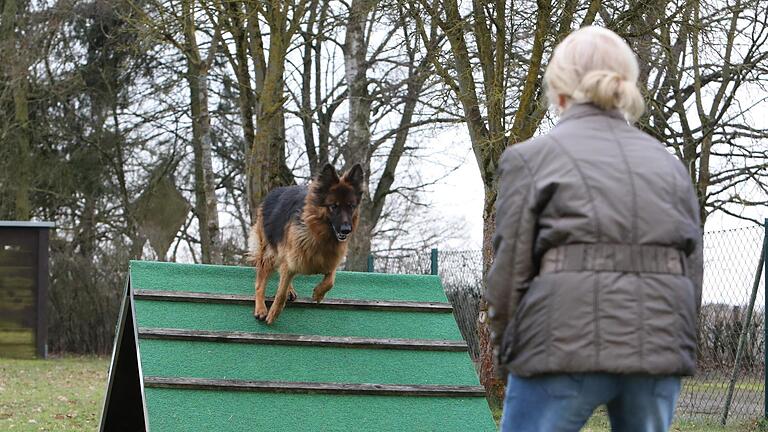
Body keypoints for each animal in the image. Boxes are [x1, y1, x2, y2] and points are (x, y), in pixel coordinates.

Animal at [248, 163, 364, 324]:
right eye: (334, 206)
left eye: (351, 206)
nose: (346, 230)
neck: (320, 236)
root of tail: (273, 193)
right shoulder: (291, 260)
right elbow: (281, 292)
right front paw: (274, 313)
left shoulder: (330, 262)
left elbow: (331, 280)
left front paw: (318, 293)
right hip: (269, 253)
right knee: (260, 283)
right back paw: (261, 309)